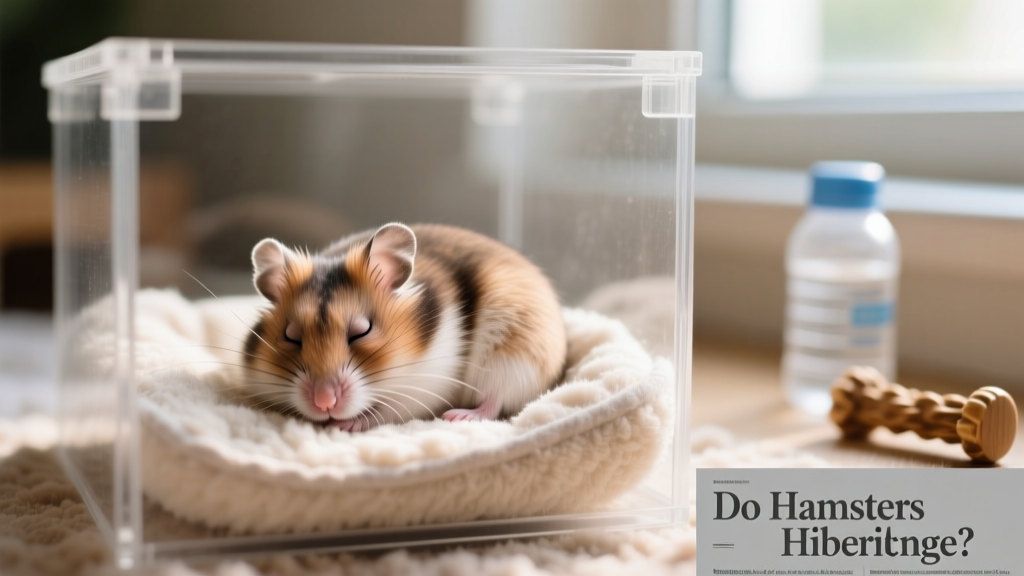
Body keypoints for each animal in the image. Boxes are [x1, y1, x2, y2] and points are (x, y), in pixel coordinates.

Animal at [242, 223, 566, 432]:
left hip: (513, 356)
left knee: (495, 399)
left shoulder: (426, 386)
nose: (324, 403)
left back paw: (458, 417)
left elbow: (385, 412)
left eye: (362, 332)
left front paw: (347, 424)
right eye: (291, 337)